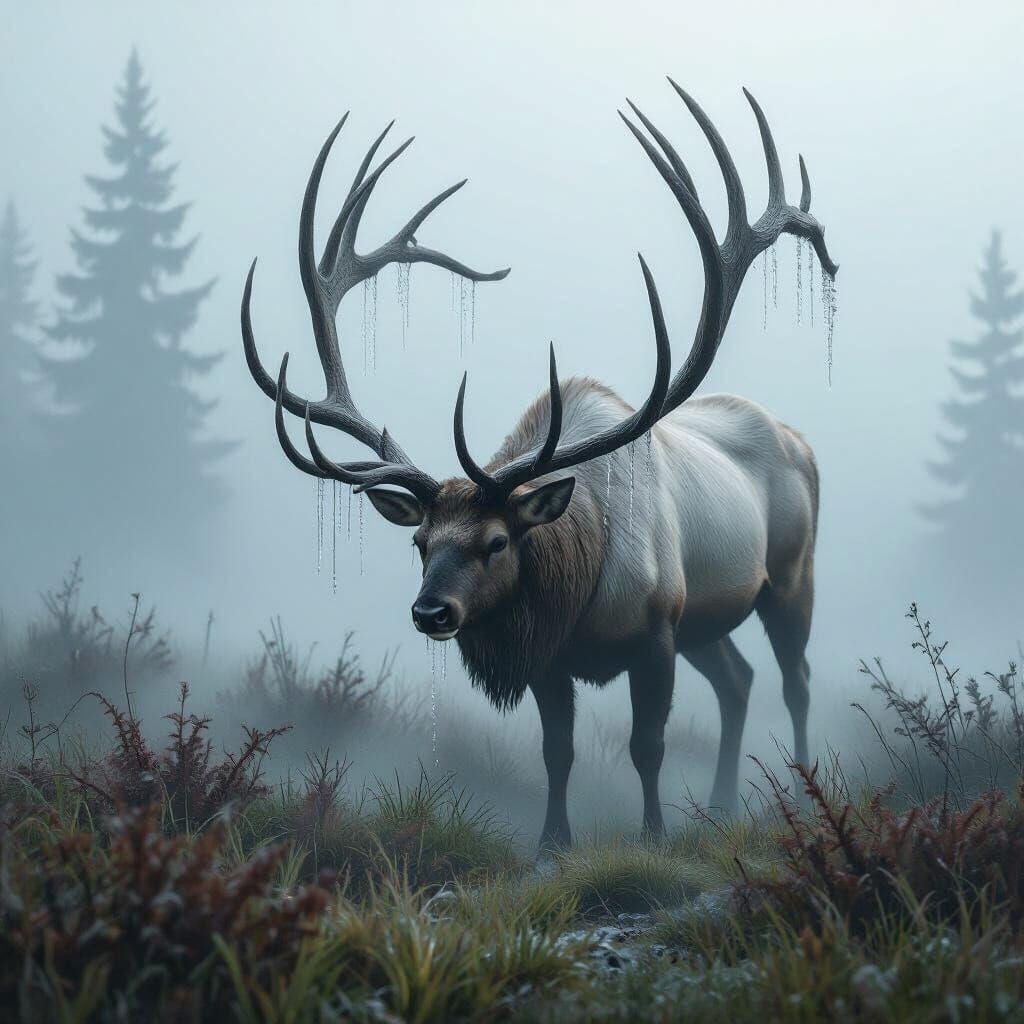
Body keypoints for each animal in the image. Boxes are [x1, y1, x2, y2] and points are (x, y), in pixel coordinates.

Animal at [241, 80, 838, 848]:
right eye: (420, 541)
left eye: (498, 541)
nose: (431, 611)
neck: (584, 581)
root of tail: (800, 440)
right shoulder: (552, 656)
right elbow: (559, 751)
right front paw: (553, 844)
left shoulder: (657, 631)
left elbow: (647, 746)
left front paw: (653, 834)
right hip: (706, 620)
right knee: (738, 681)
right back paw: (723, 804)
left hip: (789, 576)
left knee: (796, 680)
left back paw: (803, 795)